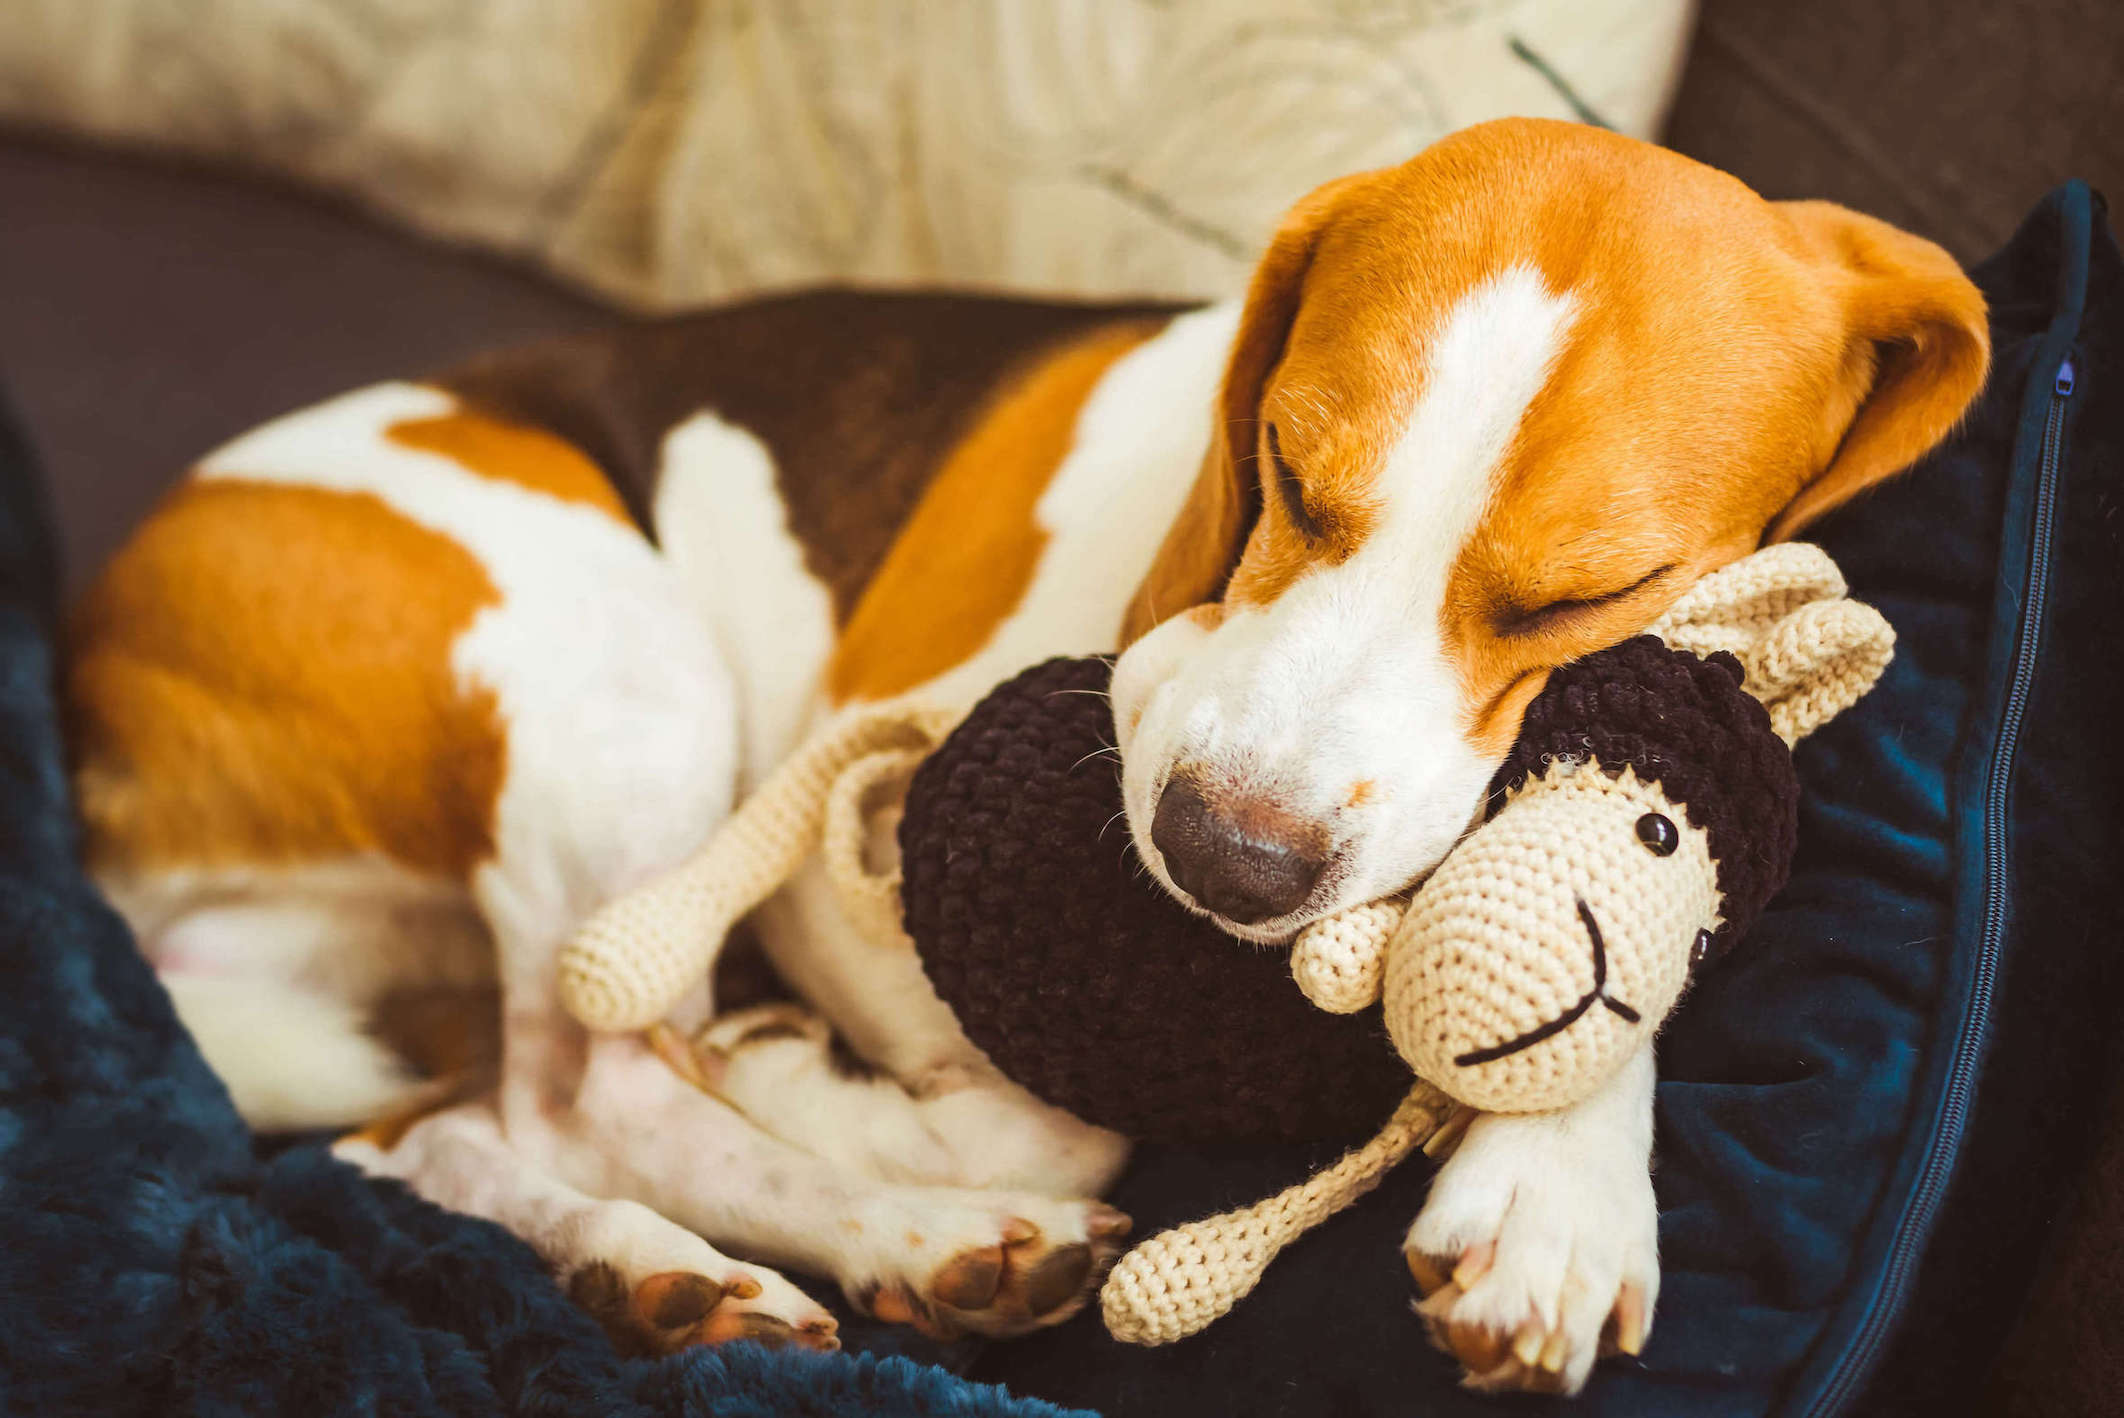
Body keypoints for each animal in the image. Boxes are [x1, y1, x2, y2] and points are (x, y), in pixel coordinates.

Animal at [66, 116, 1988, 1392]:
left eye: (1586, 597)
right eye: (1287, 469)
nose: (1224, 858)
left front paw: (1561, 1173)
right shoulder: (832, 841)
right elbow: (1039, 1111)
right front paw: (834, 1094)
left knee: (429, 1141)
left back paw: (650, 1272)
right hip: (603, 654)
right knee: (585, 1086)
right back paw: (879, 1226)